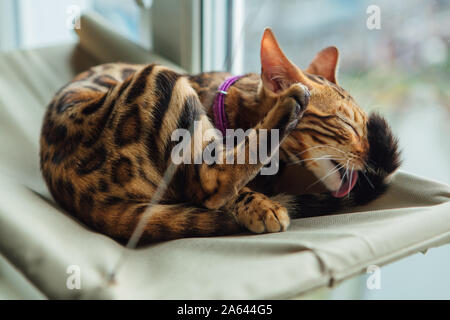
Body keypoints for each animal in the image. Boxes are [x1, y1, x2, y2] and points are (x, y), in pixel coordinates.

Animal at [40, 28, 400, 242]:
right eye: (346, 124)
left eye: (363, 127)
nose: (369, 154)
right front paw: (259, 205)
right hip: (161, 78)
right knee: (207, 182)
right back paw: (290, 105)